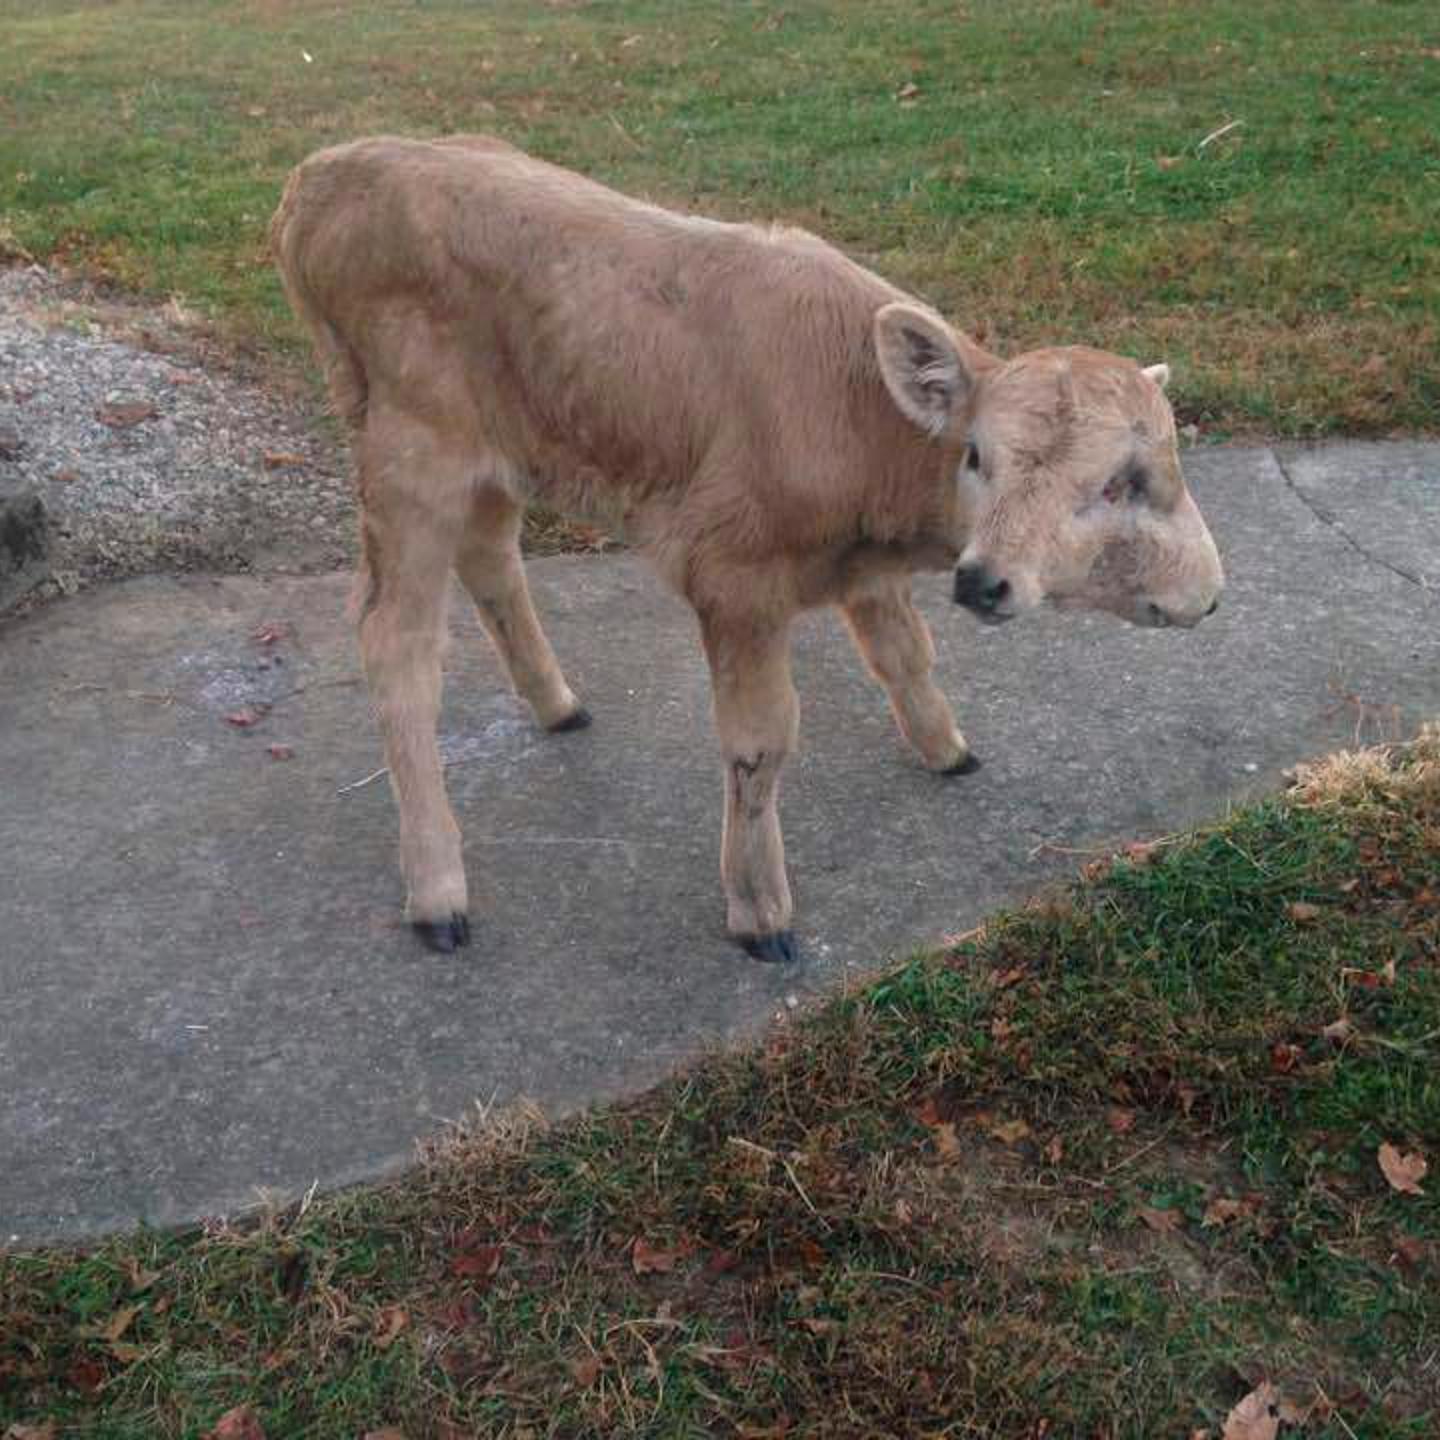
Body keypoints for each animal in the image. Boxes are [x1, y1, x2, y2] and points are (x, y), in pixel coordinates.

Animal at [270, 135, 1224, 961]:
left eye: (1137, 475)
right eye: (978, 457)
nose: (985, 582)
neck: (857, 422)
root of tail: (330, 169)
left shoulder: (864, 572)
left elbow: (904, 654)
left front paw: (945, 747)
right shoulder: (734, 576)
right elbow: (761, 744)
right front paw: (759, 908)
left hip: (500, 446)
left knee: (491, 558)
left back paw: (556, 703)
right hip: (408, 451)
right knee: (396, 643)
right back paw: (437, 889)